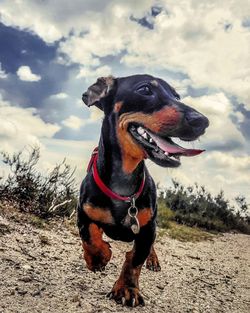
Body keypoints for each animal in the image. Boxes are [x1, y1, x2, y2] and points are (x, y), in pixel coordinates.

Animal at [76, 74, 209, 306]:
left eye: (177, 96)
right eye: (145, 89)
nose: (202, 121)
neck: (123, 181)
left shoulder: (147, 229)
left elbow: (135, 259)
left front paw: (127, 289)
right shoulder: (83, 214)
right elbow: (90, 238)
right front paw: (99, 257)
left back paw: (153, 260)